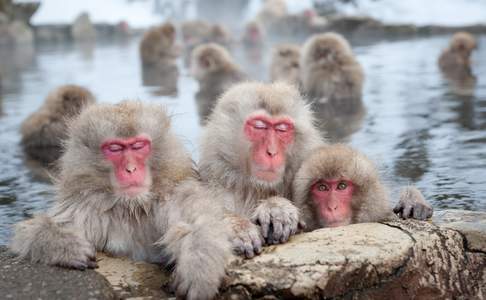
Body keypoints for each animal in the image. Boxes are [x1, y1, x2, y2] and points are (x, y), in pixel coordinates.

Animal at [9, 101, 234, 300]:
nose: (130, 169)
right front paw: (64, 246)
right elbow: (28, 233)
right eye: (115, 148)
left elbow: (199, 223)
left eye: (138, 146)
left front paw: (199, 267)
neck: (132, 207)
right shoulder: (86, 208)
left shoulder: (173, 197)